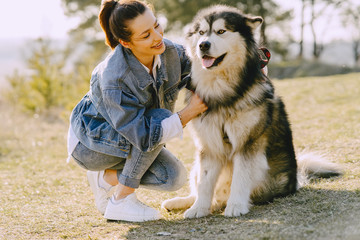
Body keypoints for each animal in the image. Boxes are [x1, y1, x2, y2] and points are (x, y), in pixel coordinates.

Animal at [162, 4, 342, 218]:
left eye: (221, 31)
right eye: (201, 33)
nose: (203, 45)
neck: (222, 92)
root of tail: (296, 178)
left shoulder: (248, 143)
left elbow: (240, 177)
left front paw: (236, 206)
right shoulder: (210, 145)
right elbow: (205, 183)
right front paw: (198, 209)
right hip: (197, 165)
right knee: (203, 189)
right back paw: (181, 202)